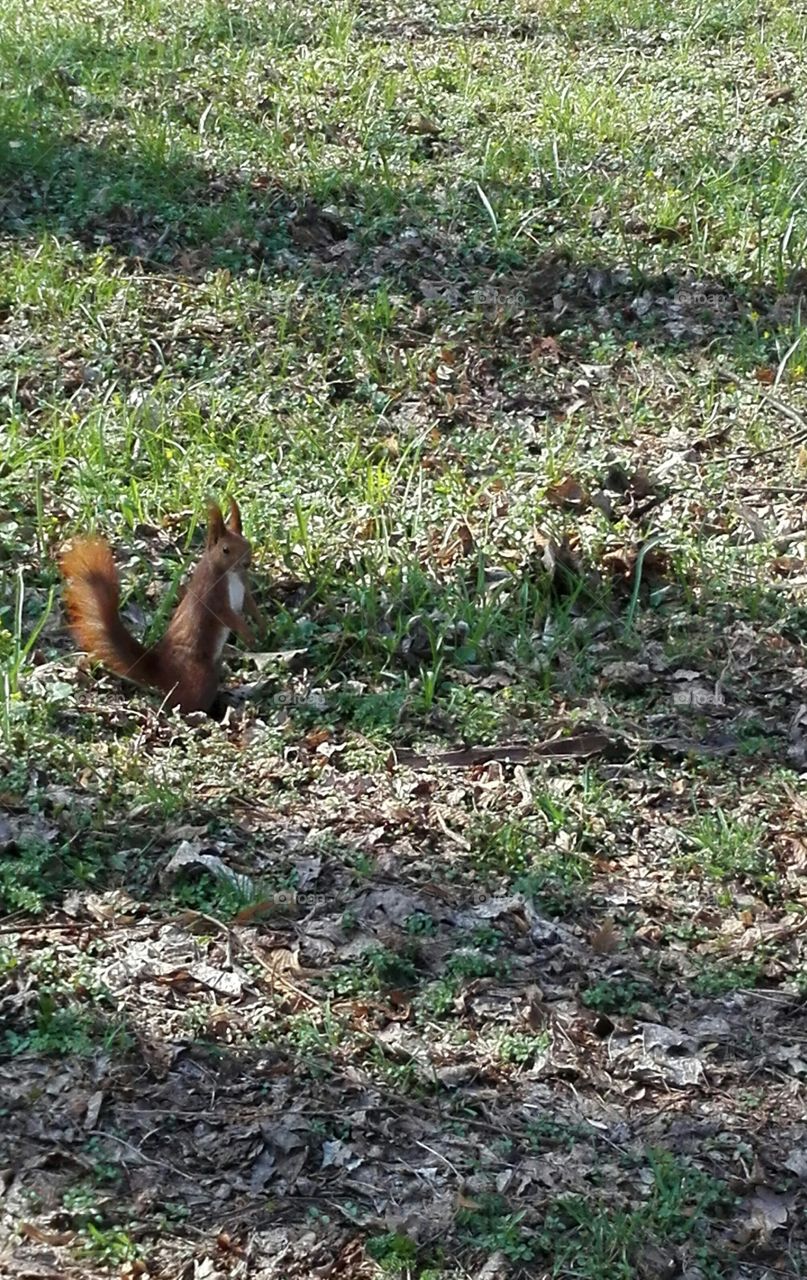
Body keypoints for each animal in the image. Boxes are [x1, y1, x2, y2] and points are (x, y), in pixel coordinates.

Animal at [59, 499, 261, 714]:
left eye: (248, 544)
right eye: (225, 550)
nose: (247, 563)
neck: (230, 574)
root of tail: (163, 672)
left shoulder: (243, 587)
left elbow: (250, 604)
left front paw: (262, 626)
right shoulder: (212, 596)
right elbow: (227, 615)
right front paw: (249, 635)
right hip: (199, 675)